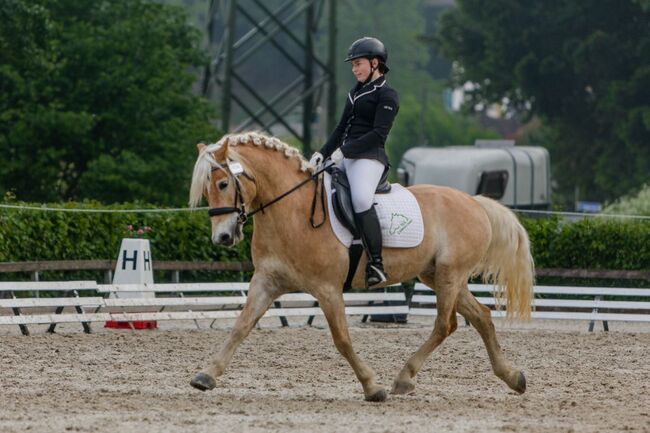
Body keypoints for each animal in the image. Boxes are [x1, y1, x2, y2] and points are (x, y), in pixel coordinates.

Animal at [186, 132, 532, 402]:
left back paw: (403, 378)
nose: (222, 237)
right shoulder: (266, 282)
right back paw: (513, 377)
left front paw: (372, 387)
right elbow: (241, 326)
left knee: (444, 325)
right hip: (437, 275)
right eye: (206, 189)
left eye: (223, 183)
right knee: (482, 317)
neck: (291, 212)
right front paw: (206, 375)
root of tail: (475, 202)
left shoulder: (327, 289)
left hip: (450, 274)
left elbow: (342, 339)